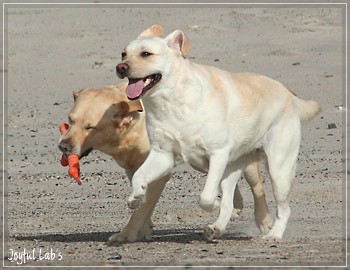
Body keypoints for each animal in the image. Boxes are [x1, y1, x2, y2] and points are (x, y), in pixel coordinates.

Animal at [58, 82, 270, 243]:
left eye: (90, 127)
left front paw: (128, 234)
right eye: (70, 120)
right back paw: (236, 207)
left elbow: (141, 209)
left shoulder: (159, 174)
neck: (131, 127)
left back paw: (264, 219)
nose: (63, 146)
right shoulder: (132, 168)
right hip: (203, 160)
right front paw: (144, 229)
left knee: (257, 185)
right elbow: (142, 200)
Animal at [116, 24, 322, 238]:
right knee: (230, 202)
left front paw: (214, 202)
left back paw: (274, 235)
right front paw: (136, 196)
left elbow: (206, 197)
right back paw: (216, 228)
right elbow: (139, 175)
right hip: (233, 168)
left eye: (146, 54)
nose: (120, 67)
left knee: (283, 208)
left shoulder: (218, 153)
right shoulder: (163, 155)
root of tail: (290, 96)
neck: (171, 101)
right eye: (123, 54)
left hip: (278, 170)